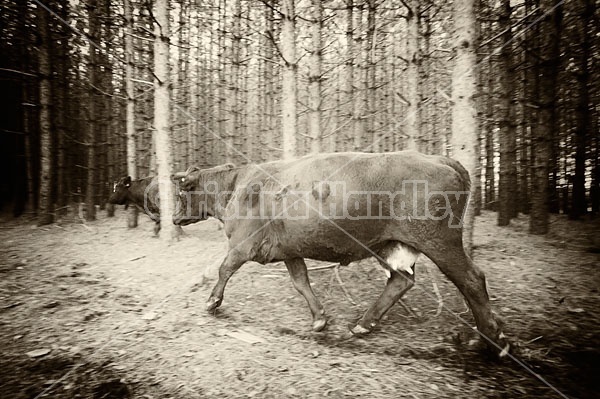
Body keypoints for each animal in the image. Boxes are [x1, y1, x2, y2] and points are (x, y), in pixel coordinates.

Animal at [173, 152, 510, 356]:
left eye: (182, 192)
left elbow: (224, 269)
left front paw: (211, 302)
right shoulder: (290, 251)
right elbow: (301, 282)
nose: (174, 218)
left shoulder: (242, 245)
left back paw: (490, 340)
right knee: (401, 280)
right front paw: (320, 320)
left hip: (440, 244)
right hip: (394, 245)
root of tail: (441, 159)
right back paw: (362, 324)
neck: (236, 186)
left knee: (472, 279)